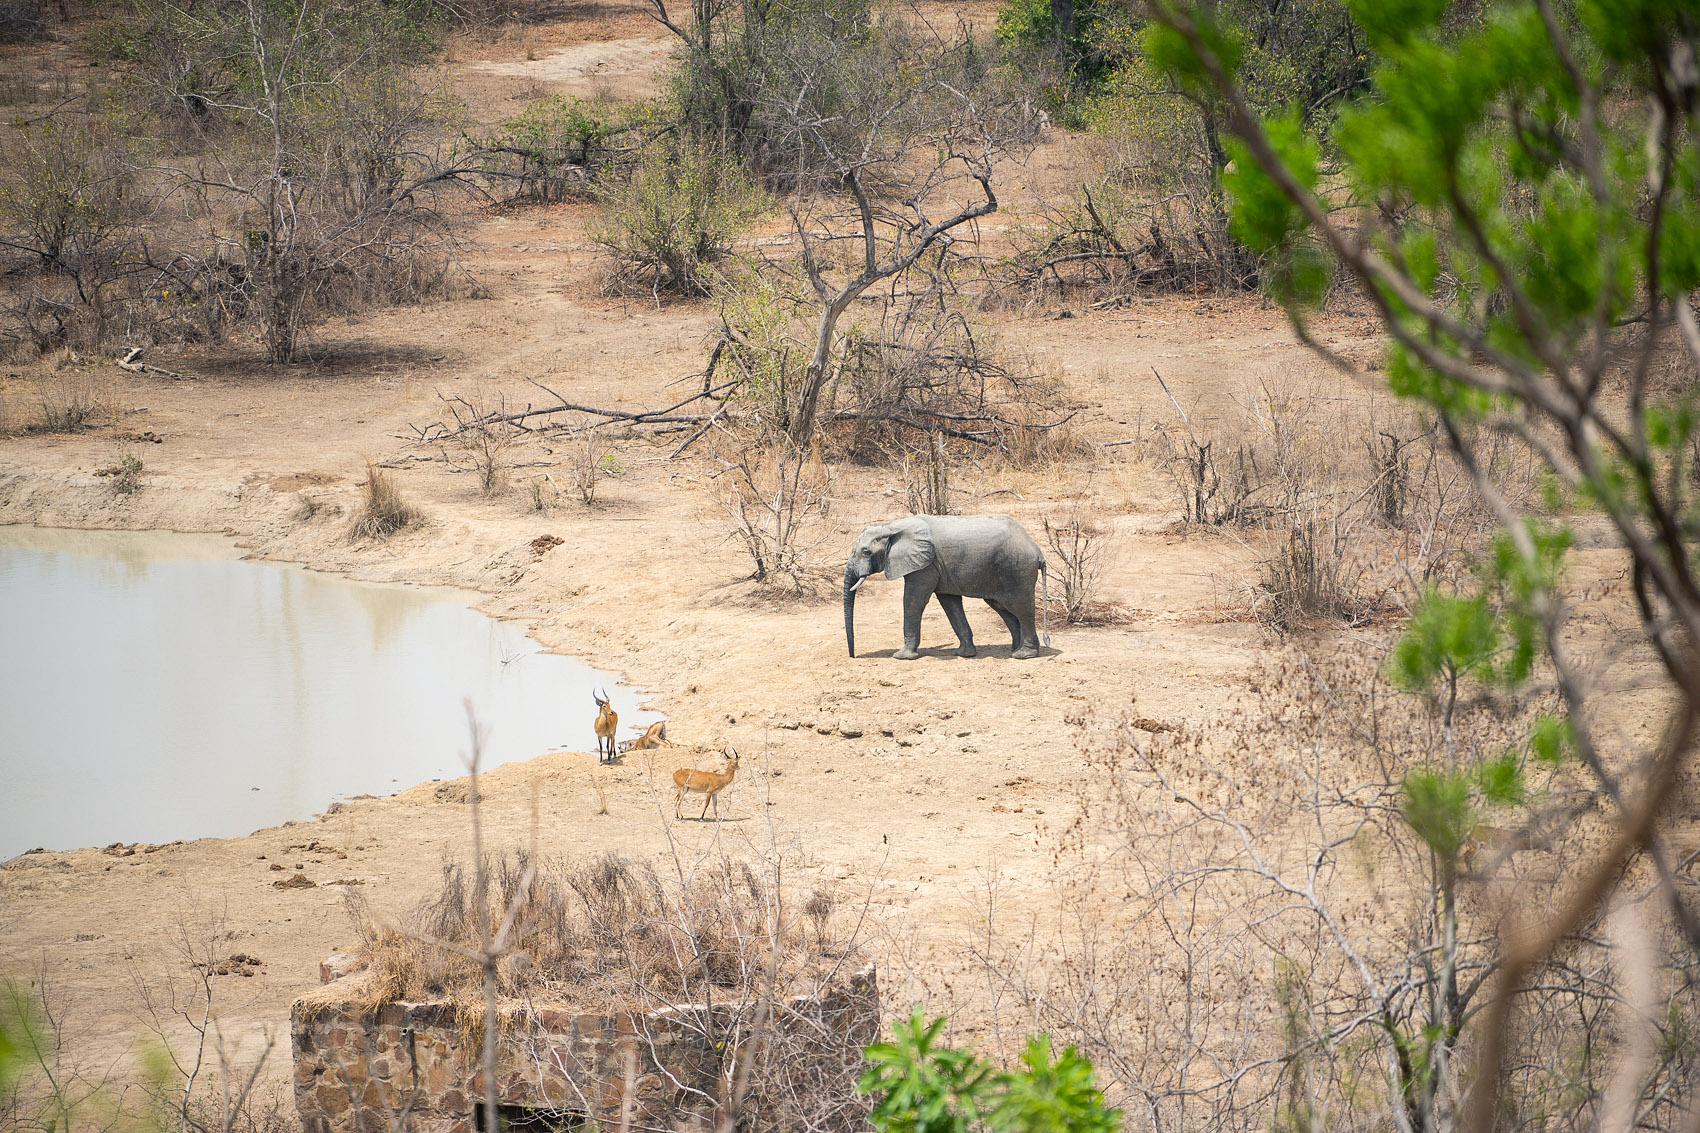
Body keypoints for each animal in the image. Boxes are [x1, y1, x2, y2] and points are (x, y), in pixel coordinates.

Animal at [839, 510, 1047, 656]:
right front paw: (964, 654)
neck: (893, 526)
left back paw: (1024, 654)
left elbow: (914, 600)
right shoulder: (939, 567)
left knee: (1021, 609)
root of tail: (1037, 550)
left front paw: (901, 656)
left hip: (1017, 570)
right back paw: (1014, 649)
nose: (853, 656)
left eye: (866, 552)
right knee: (1003, 609)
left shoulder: (926, 565)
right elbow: (950, 603)